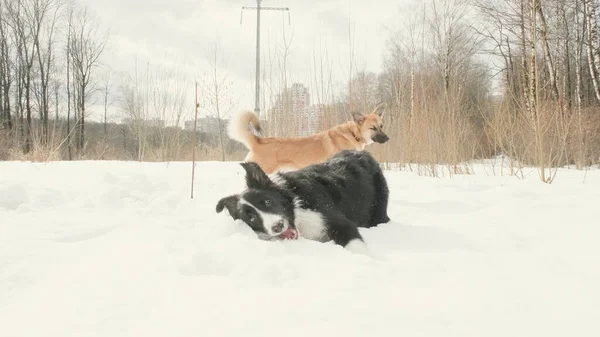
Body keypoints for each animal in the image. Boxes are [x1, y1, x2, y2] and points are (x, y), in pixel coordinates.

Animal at [213, 148, 392, 253]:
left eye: (267, 201)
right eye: (252, 218)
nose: (277, 226)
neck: (296, 208)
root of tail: (361, 152)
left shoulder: (337, 221)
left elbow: (355, 245)